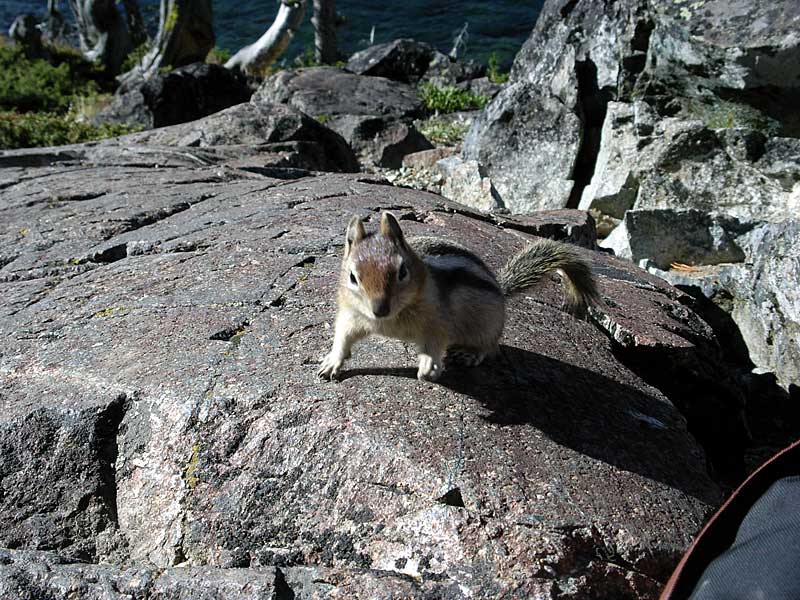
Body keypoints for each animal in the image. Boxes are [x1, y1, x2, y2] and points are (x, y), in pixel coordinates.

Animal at [318, 211, 600, 380]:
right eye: (353, 277)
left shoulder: (438, 321)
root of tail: (500, 290)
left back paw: (470, 353)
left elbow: (435, 342)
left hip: (486, 327)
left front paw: (429, 364)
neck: (390, 320)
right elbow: (343, 337)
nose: (380, 309)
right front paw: (331, 362)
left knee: (491, 346)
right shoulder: (352, 315)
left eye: (402, 271)